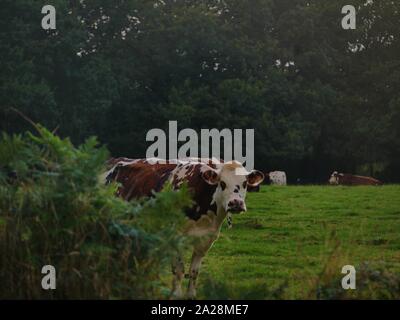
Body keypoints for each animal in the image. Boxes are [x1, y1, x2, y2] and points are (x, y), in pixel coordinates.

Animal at [104, 158, 264, 298]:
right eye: (222, 183)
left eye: (244, 183)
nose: (236, 203)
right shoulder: (175, 236)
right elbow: (179, 270)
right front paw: (176, 294)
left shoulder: (205, 240)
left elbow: (194, 272)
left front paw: (191, 294)